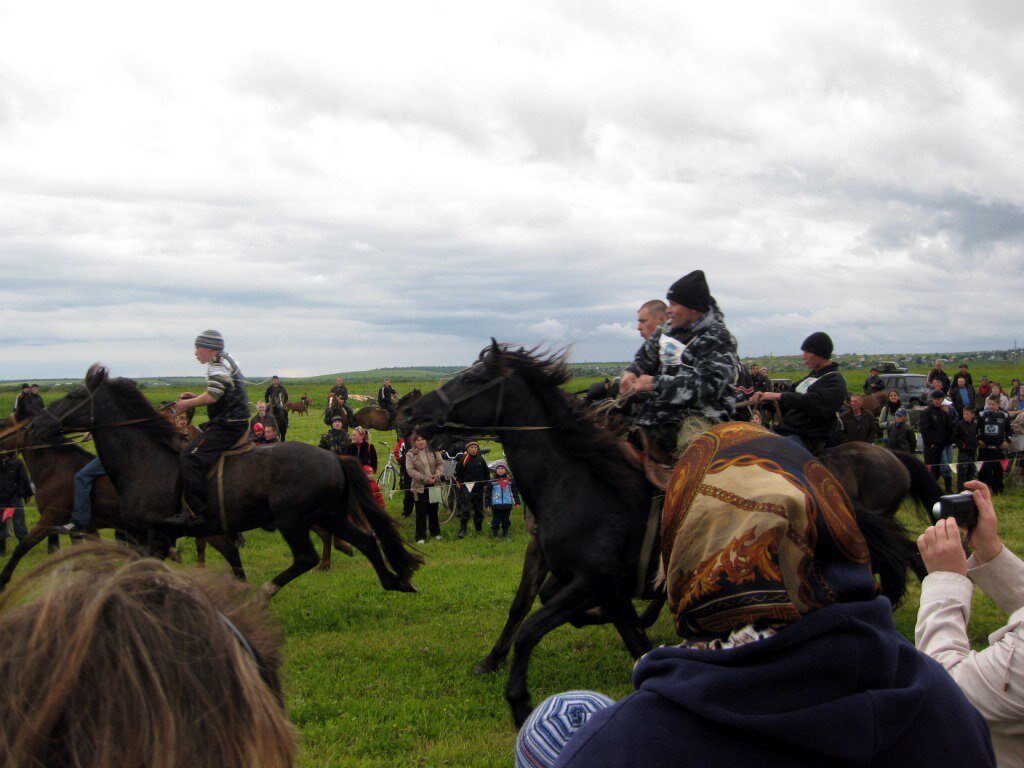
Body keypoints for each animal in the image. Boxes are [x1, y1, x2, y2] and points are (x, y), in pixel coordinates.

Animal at [30, 366, 423, 602]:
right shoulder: (150, 535)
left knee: (308, 557)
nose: (36, 425)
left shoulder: (154, 534)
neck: (145, 461)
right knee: (366, 540)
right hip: (330, 514)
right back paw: (396, 580)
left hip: (294, 521)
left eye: (75, 396)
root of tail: (334, 458)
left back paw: (263, 593)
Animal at [403, 342, 925, 729]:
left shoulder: (590, 580)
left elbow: (533, 626)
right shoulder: (576, 574)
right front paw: (492, 663)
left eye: (473, 379)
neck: (581, 483)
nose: (413, 415)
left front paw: (519, 701)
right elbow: (543, 611)